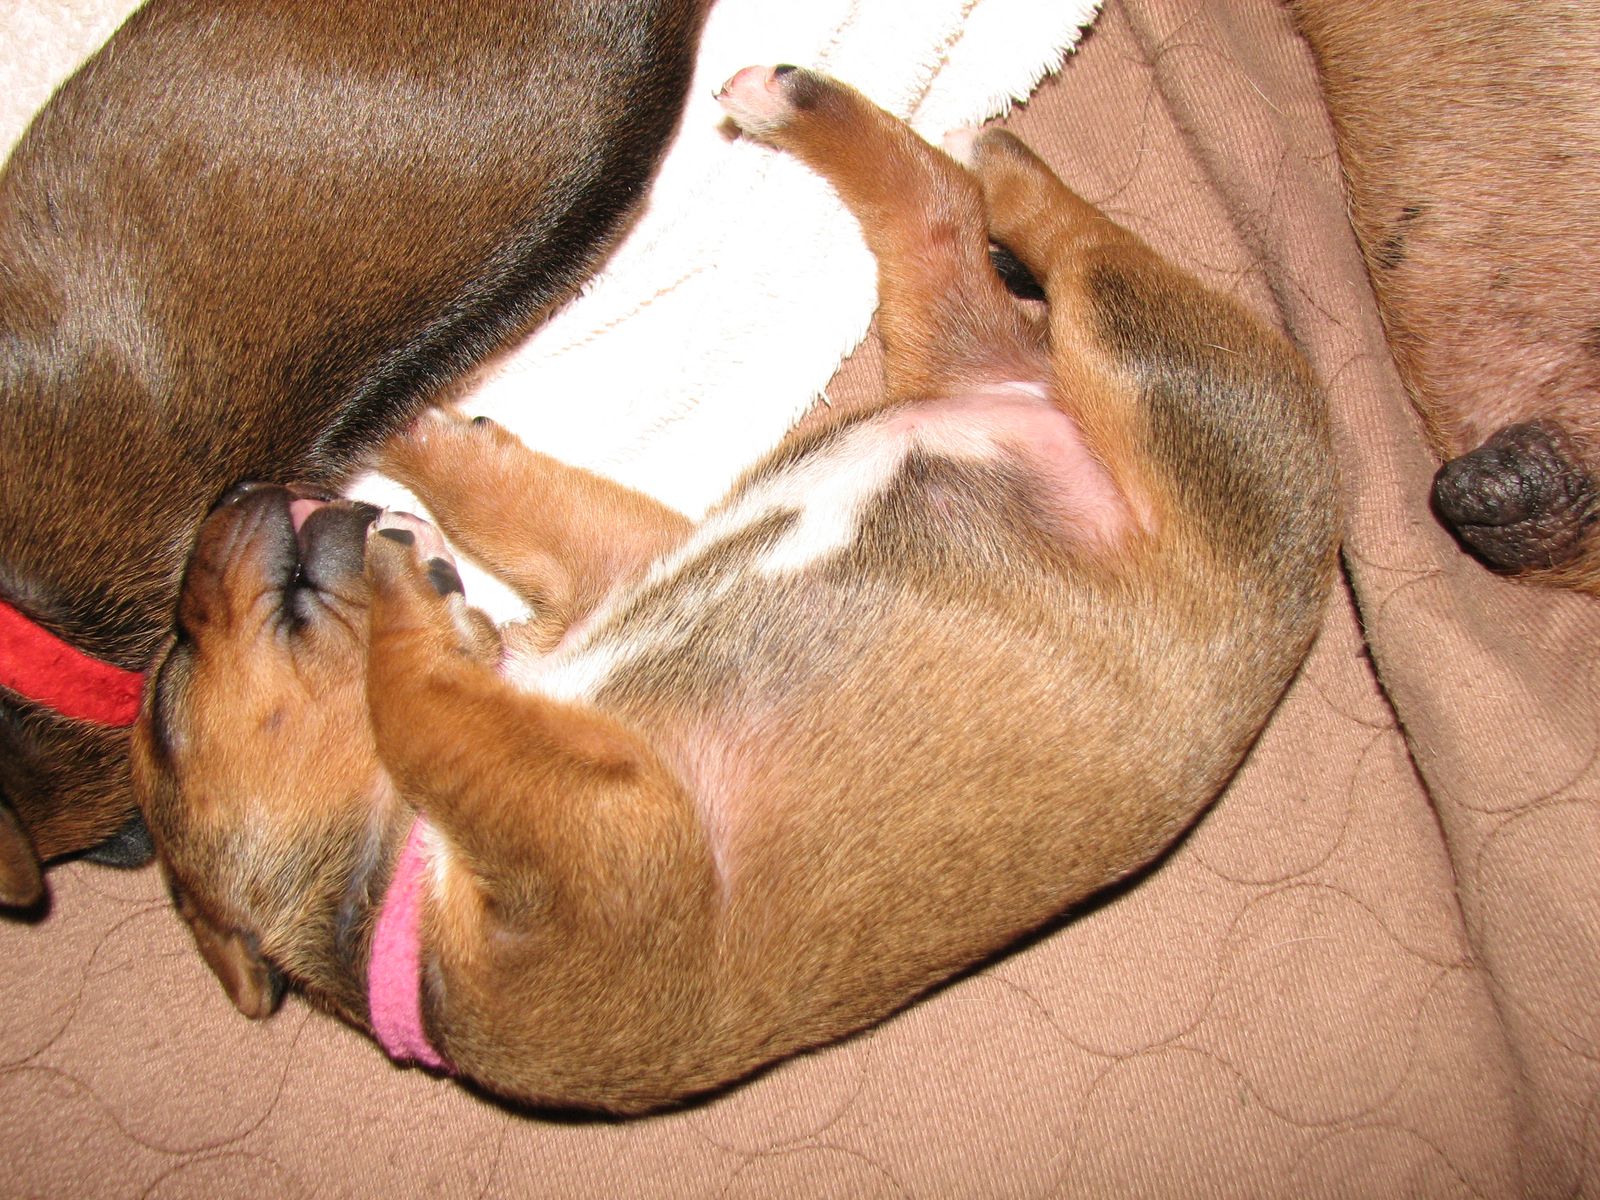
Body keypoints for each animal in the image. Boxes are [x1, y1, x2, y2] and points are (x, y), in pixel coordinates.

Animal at [131, 67, 1338, 1114]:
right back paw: (890, 129)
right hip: (1007, 344)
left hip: (1134, 363)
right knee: (947, 219)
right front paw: (412, 549)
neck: (402, 888)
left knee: (1046, 236)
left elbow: (427, 677)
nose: (233, 494)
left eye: (160, 700)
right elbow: (438, 672)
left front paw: (391, 440)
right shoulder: (607, 718)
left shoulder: (589, 775)